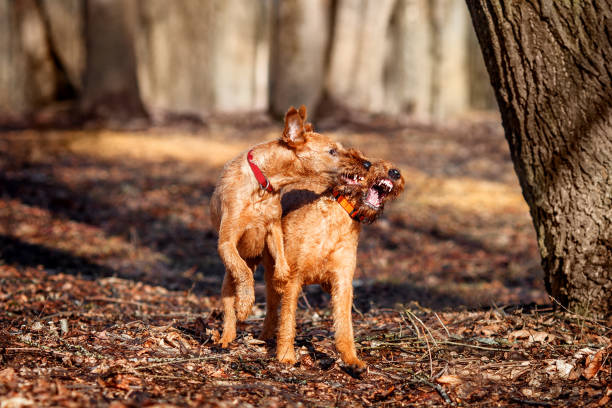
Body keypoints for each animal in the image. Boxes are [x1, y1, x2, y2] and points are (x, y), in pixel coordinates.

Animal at [210, 106, 356, 348]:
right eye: (332, 151)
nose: (366, 164)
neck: (262, 185)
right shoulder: (226, 242)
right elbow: (243, 272)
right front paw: (246, 303)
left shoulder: (273, 228)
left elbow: (281, 254)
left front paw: (282, 278)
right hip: (228, 280)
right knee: (231, 302)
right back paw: (227, 336)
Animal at [260, 148, 404, 372]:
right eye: (369, 164)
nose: (395, 172)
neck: (339, 217)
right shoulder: (293, 278)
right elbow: (287, 321)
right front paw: (285, 356)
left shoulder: (342, 282)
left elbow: (345, 326)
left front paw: (352, 360)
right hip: (273, 271)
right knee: (272, 306)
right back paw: (265, 336)